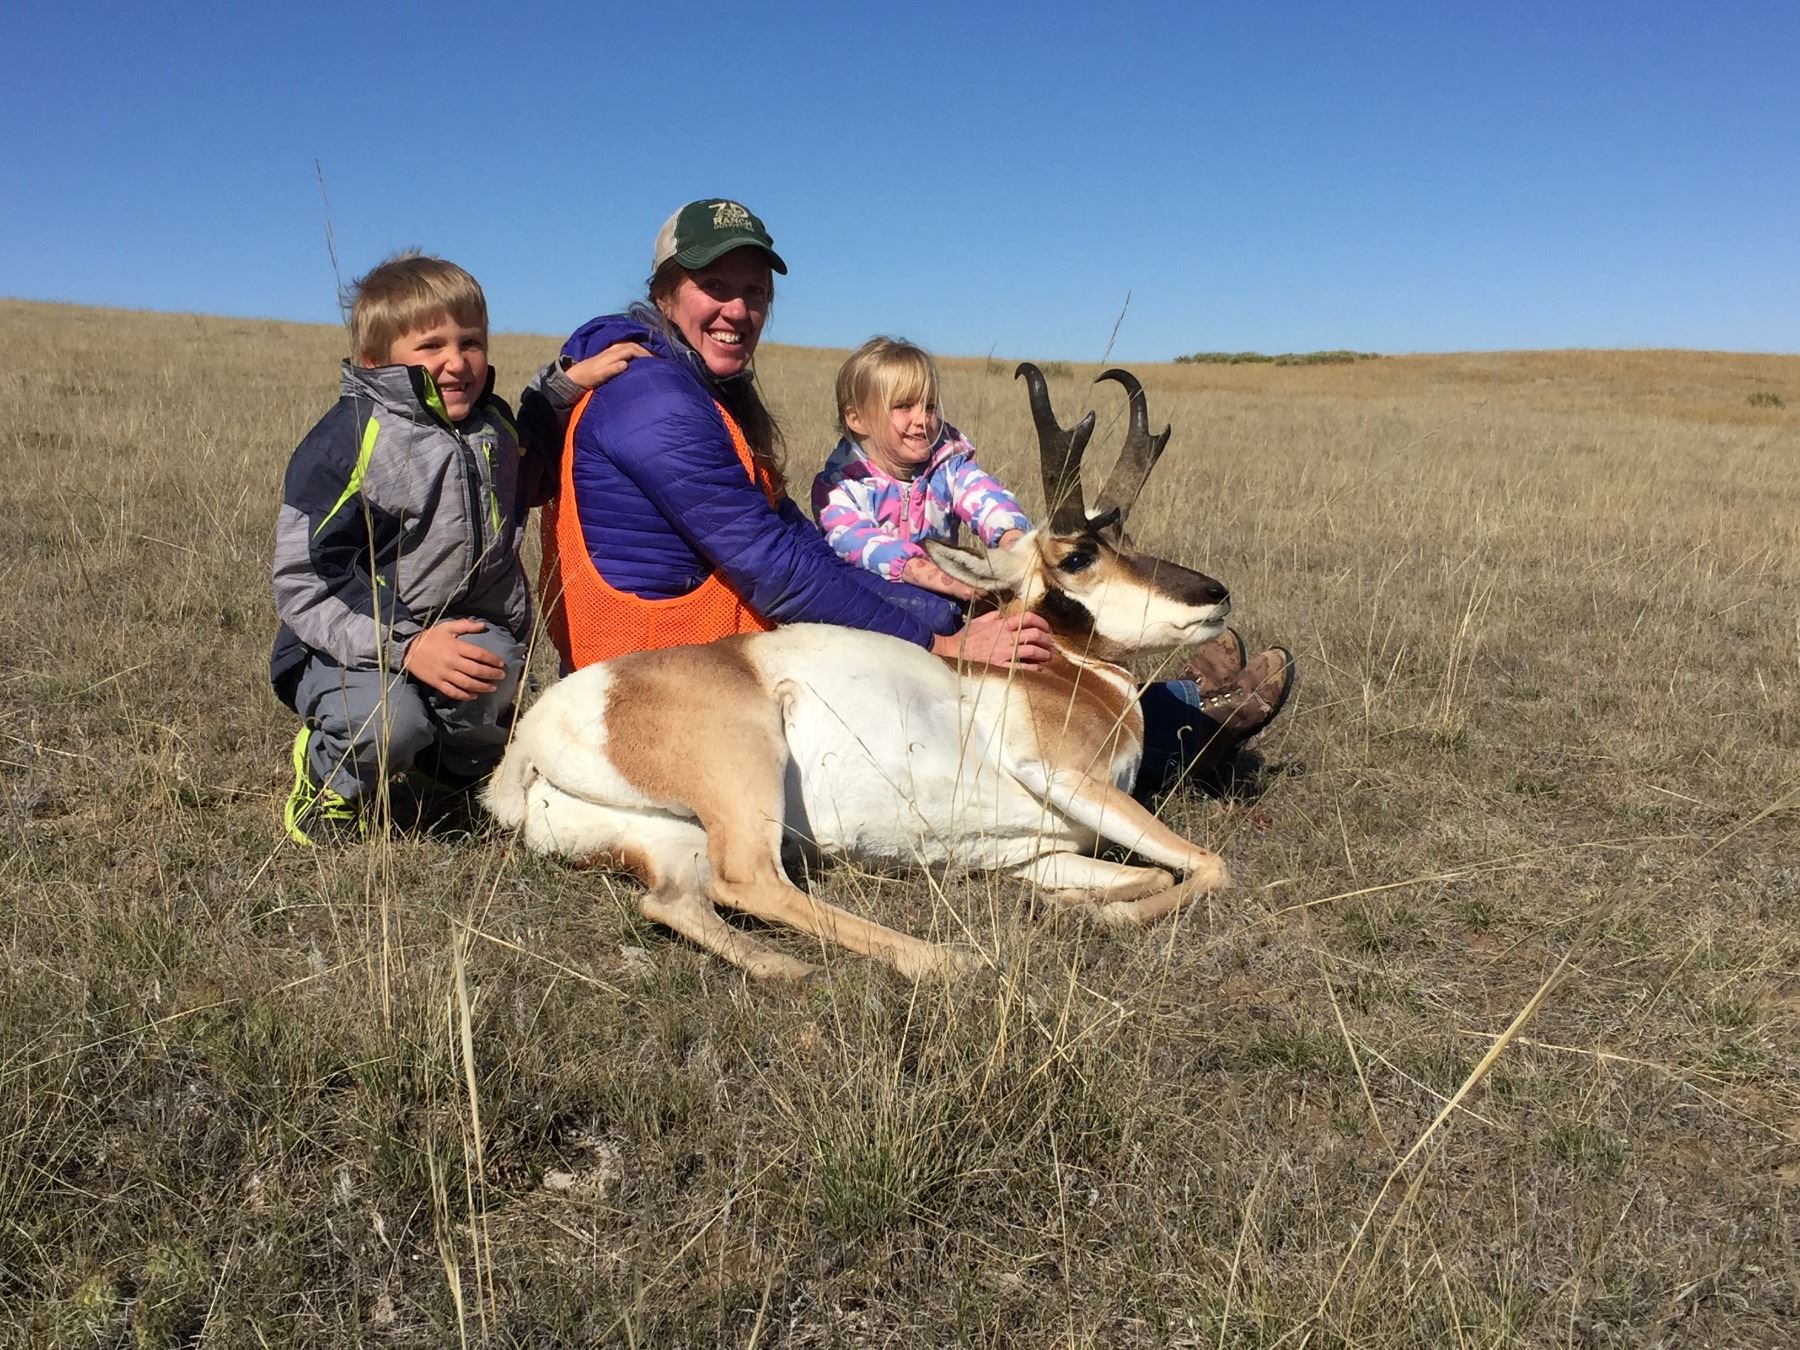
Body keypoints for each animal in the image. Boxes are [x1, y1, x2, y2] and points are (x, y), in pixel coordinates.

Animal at [485, 365, 1234, 982]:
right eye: (1078, 557)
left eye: (1127, 542)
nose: (1216, 595)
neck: (1063, 672)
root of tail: (541, 729)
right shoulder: (1066, 777)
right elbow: (1207, 864)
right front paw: (1096, 913)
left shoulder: (1043, 851)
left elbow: (1134, 875)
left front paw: (1067, 902)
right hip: (748, 767)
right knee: (749, 880)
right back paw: (948, 959)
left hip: (670, 837)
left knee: (674, 903)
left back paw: (795, 969)